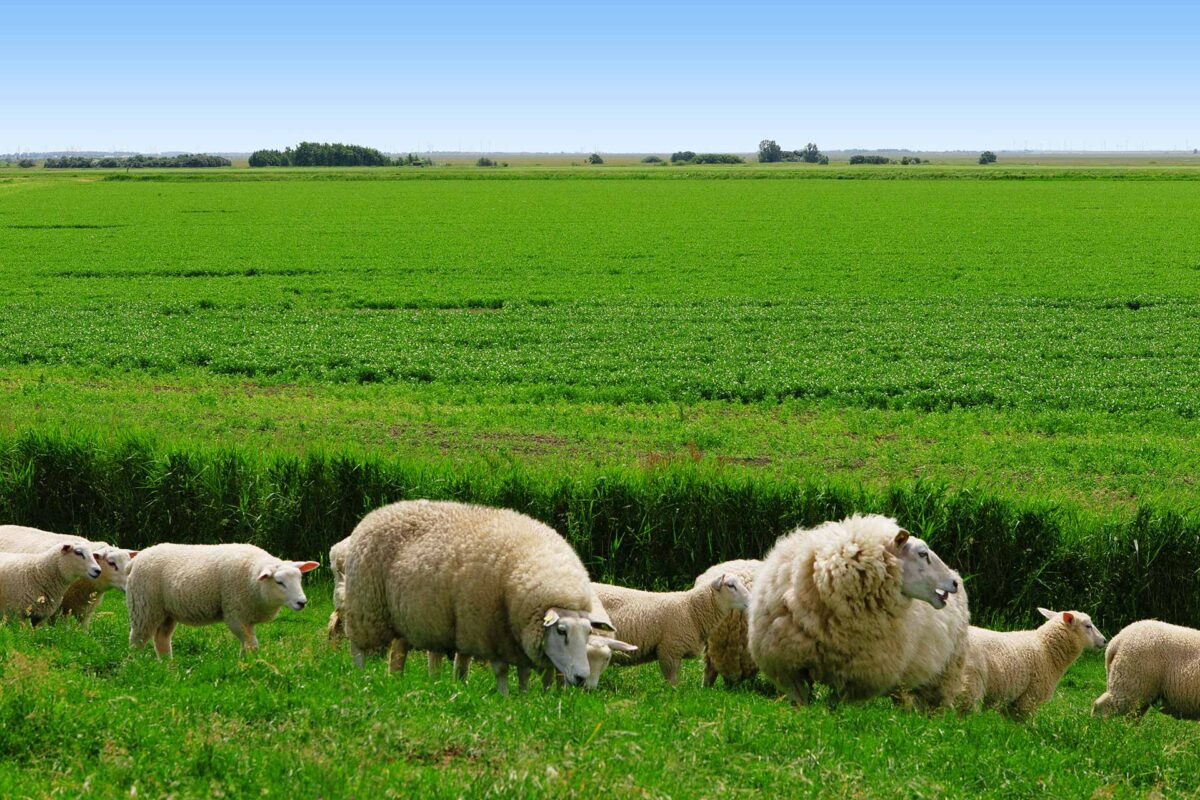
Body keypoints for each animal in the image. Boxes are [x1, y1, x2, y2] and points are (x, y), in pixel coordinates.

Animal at [126, 542, 319, 662]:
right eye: (279, 582)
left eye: (300, 578)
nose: (302, 602)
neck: (253, 579)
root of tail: (136, 559)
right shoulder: (235, 613)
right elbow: (252, 645)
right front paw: (248, 665)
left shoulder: (246, 615)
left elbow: (249, 644)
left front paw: (247, 662)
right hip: (144, 606)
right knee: (137, 639)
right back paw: (137, 664)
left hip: (167, 612)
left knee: (161, 639)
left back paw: (168, 665)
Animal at [338, 501, 628, 695]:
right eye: (561, 631)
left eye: (589, 632)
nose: (581, 677)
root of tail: (377, 512)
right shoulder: (489, 631)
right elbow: (501, 670)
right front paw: (505, 697)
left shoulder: (516, 636)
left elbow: (523, 672)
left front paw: (523, 697)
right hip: (365, 606)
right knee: (357, 647)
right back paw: (360, 677)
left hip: (406, 618)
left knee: (398, 651)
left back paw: (395, 680)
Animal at [744, 513, 969, 705]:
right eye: (923, 554)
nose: (954, 583)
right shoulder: (788, 668)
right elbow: (803, 703)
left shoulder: (856, 679)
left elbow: (835, 709)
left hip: (945, 674)